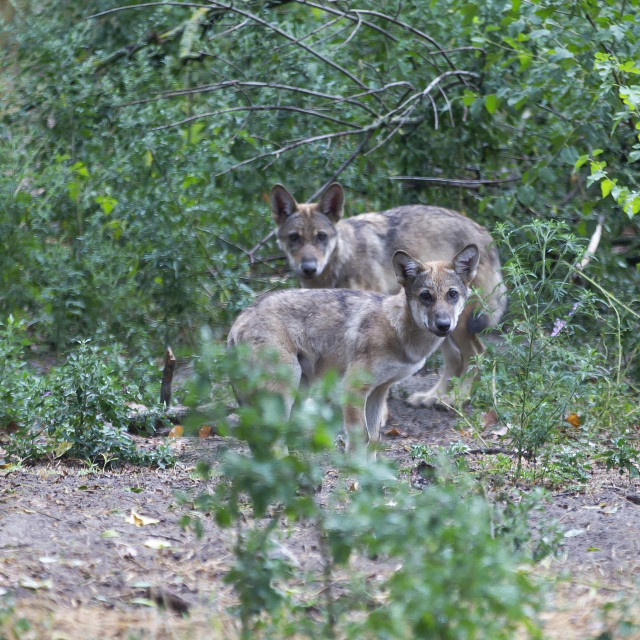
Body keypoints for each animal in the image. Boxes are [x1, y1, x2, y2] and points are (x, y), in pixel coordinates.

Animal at [230, 244, 480, 450]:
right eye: (426, 296)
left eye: (452, 294)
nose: (444, 325)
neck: (396, 329)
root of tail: (238, 321)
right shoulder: (352, 389)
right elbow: (360, 441)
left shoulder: (378, 392)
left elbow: (375, 439)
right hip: (285, 392)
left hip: (301, 390)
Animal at [268, 182, 508, 408]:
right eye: (294, 238)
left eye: (321, 237)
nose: (309, 268)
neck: (342, 259)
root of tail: (487, 234)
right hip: (441, 328)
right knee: (456, 359)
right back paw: (432, 397)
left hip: (455, 325)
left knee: (477, 353)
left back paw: (459, 398)